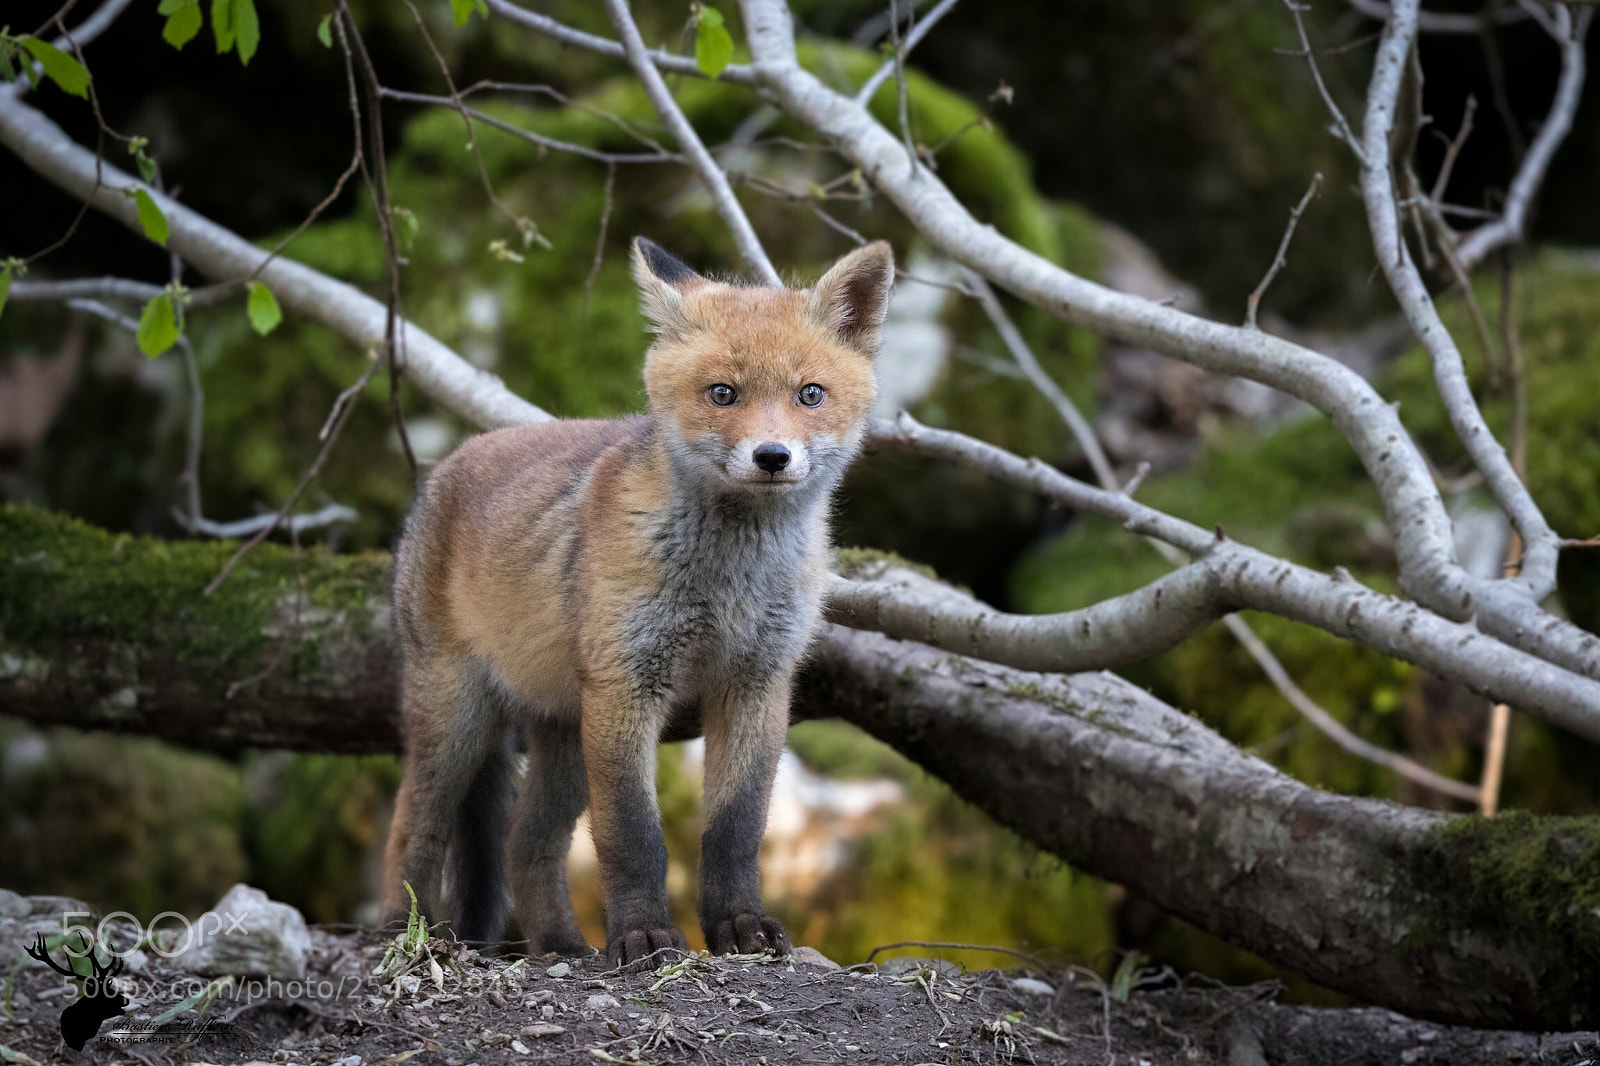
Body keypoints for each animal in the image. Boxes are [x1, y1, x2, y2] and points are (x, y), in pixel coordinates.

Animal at [381, 236, 895, 965]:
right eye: (723, 394)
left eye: (810, 394)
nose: (772, 456)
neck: (726, 581)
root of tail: (447, 464)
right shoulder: (628, 682)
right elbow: (631, 834)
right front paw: (643, 935)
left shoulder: (758, 682)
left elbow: (735, 830)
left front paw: (740, 925)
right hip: (458, 720)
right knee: (413, 829)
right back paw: (403, 937)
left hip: (564, 735)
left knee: (525, 844)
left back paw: (561, 946)